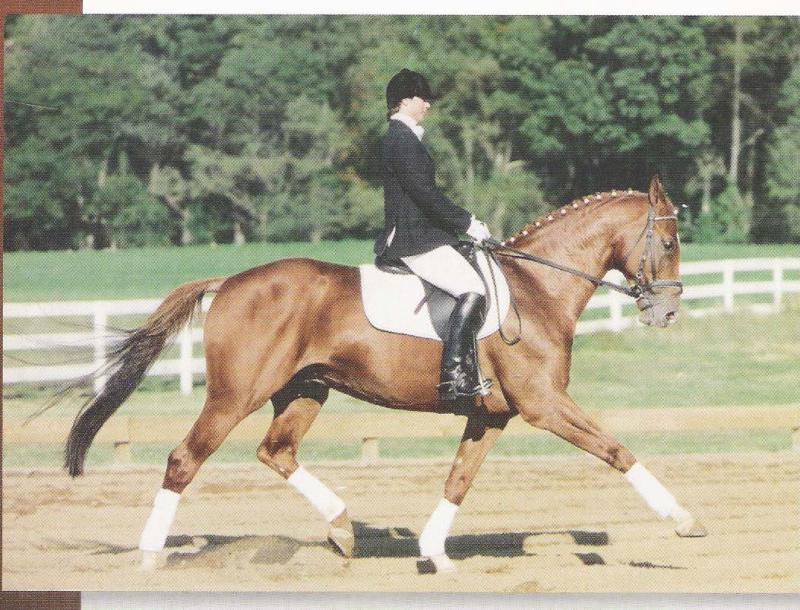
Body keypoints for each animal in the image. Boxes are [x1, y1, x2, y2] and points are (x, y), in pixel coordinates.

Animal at [64, 175, 706, 574]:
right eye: (669, 241)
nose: (669, 313)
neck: (537, 289)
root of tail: (229, 283)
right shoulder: (545, 404)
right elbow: (616, 450)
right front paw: (684, 521)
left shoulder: (492, 414)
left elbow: (458, 480)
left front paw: (435, 554)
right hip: (234, 395)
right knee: (184, 460)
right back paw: (151, 555)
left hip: (305, 391)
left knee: (276, 452)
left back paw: (342, 528)